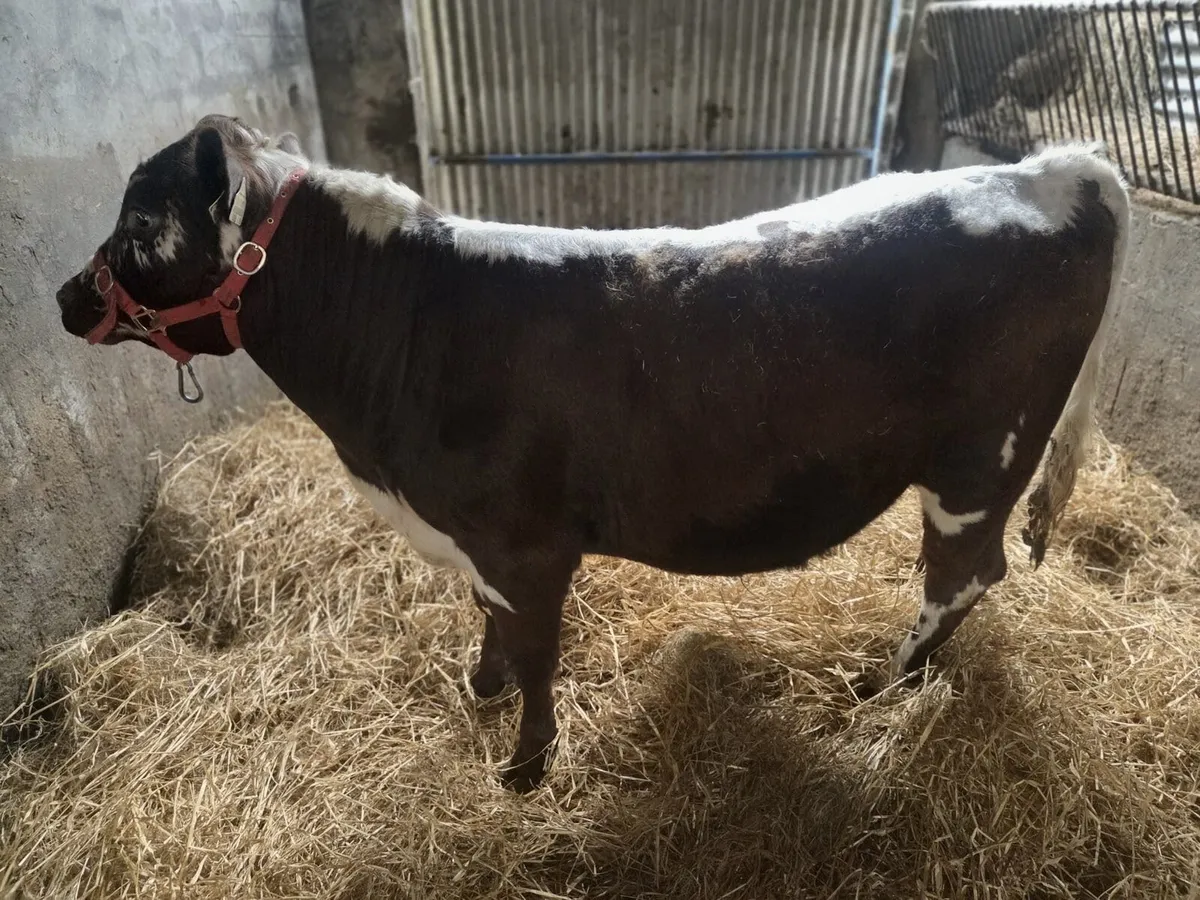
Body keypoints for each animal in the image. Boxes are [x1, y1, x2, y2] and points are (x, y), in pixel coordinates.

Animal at [56, 114, 1130, 792]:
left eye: (141, 220)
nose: (67, 295)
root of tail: (1053, 168)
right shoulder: (479, 543)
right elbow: (490, 627)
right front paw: (478, 691)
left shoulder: (526, 543)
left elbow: (536, 653)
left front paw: (525, 768)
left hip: (979, 460)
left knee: (962, 575)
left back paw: (885, 686)